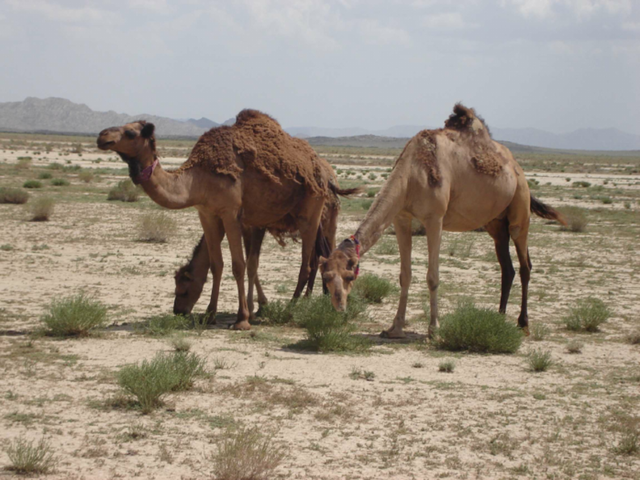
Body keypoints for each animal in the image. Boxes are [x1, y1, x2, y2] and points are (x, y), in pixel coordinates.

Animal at [97, 109, 345, 330]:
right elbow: (218, 265)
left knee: (308, 262)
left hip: (312, 212)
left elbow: (239, 265)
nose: (102, 136)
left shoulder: (231, 212)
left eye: (130, 132)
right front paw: (210, 315)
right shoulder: (207, 213)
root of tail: (322, 170)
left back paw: (293, 307)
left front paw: (243, 318)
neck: (196, 179)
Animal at [319, 104, 566, 338]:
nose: (339, 306)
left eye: (349, 276)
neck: (411, 175)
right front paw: (395, 328)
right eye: (326, 277)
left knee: (524, 264)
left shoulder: (434, 219)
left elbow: (433, 277)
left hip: (519, 206)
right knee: (507, 268)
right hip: (495, 223)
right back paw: (498, 320)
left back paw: (523, 325)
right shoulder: (401, 218)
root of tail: (516, 167)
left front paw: (434, 330)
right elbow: (404, 275)